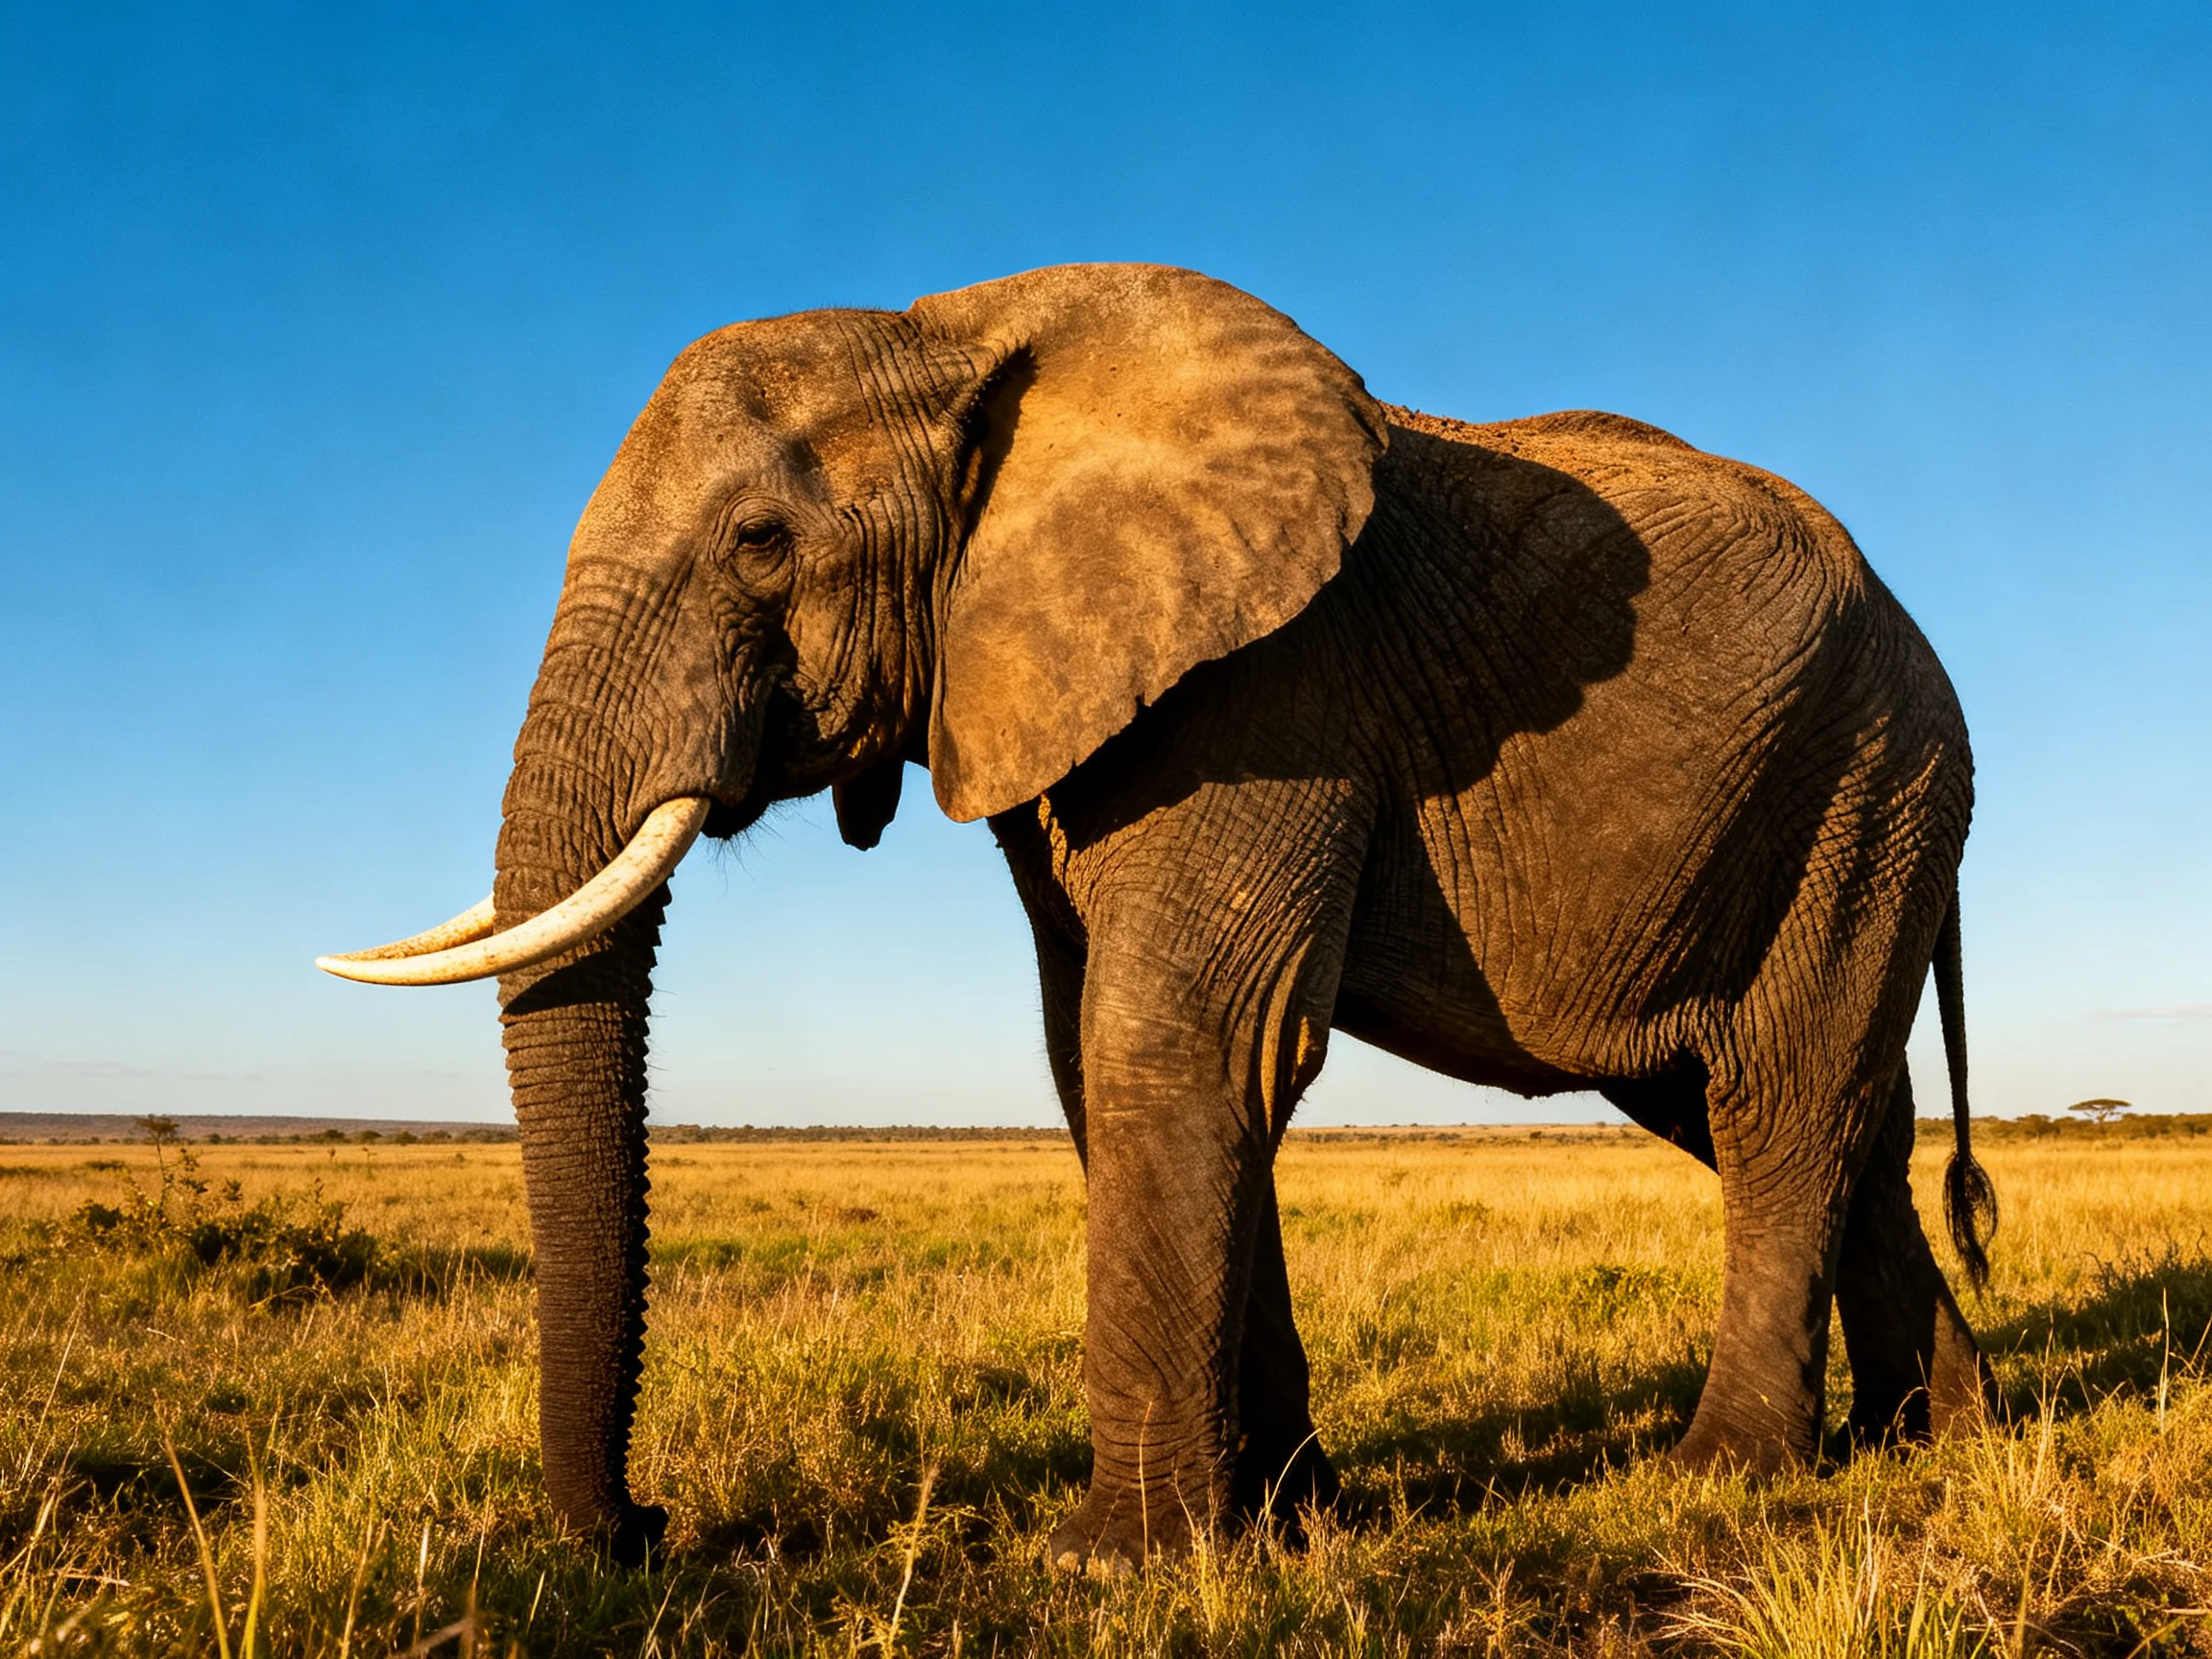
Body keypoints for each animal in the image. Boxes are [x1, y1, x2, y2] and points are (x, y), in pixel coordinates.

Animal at [323, 263, 1997, 1573]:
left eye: (760, 545)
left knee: (1779, 1097)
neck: (954, 339)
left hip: (1868, 780)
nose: (645, 1532)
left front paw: (1118, 1558)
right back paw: (1942, 1438)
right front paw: (1296, 1518)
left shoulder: (1270, 683)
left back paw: (1730, 1473)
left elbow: (1179, 1038)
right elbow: (1103, 1057)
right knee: (1783, 1111)